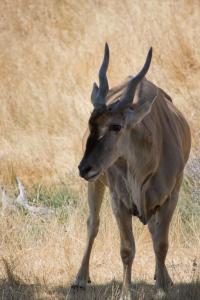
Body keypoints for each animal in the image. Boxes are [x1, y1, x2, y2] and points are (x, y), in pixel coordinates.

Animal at [72, 43, 191, 298]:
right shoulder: (119, 201)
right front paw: (126, 292)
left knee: (155, 232)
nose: (84, 167)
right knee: (92, 223)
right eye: (91, 123)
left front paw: (161, 289)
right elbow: (127, 249)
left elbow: (161, 243)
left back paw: (164, 278)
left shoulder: (171, 197)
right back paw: (79, 278)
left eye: (116, 126)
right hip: (97, 183)